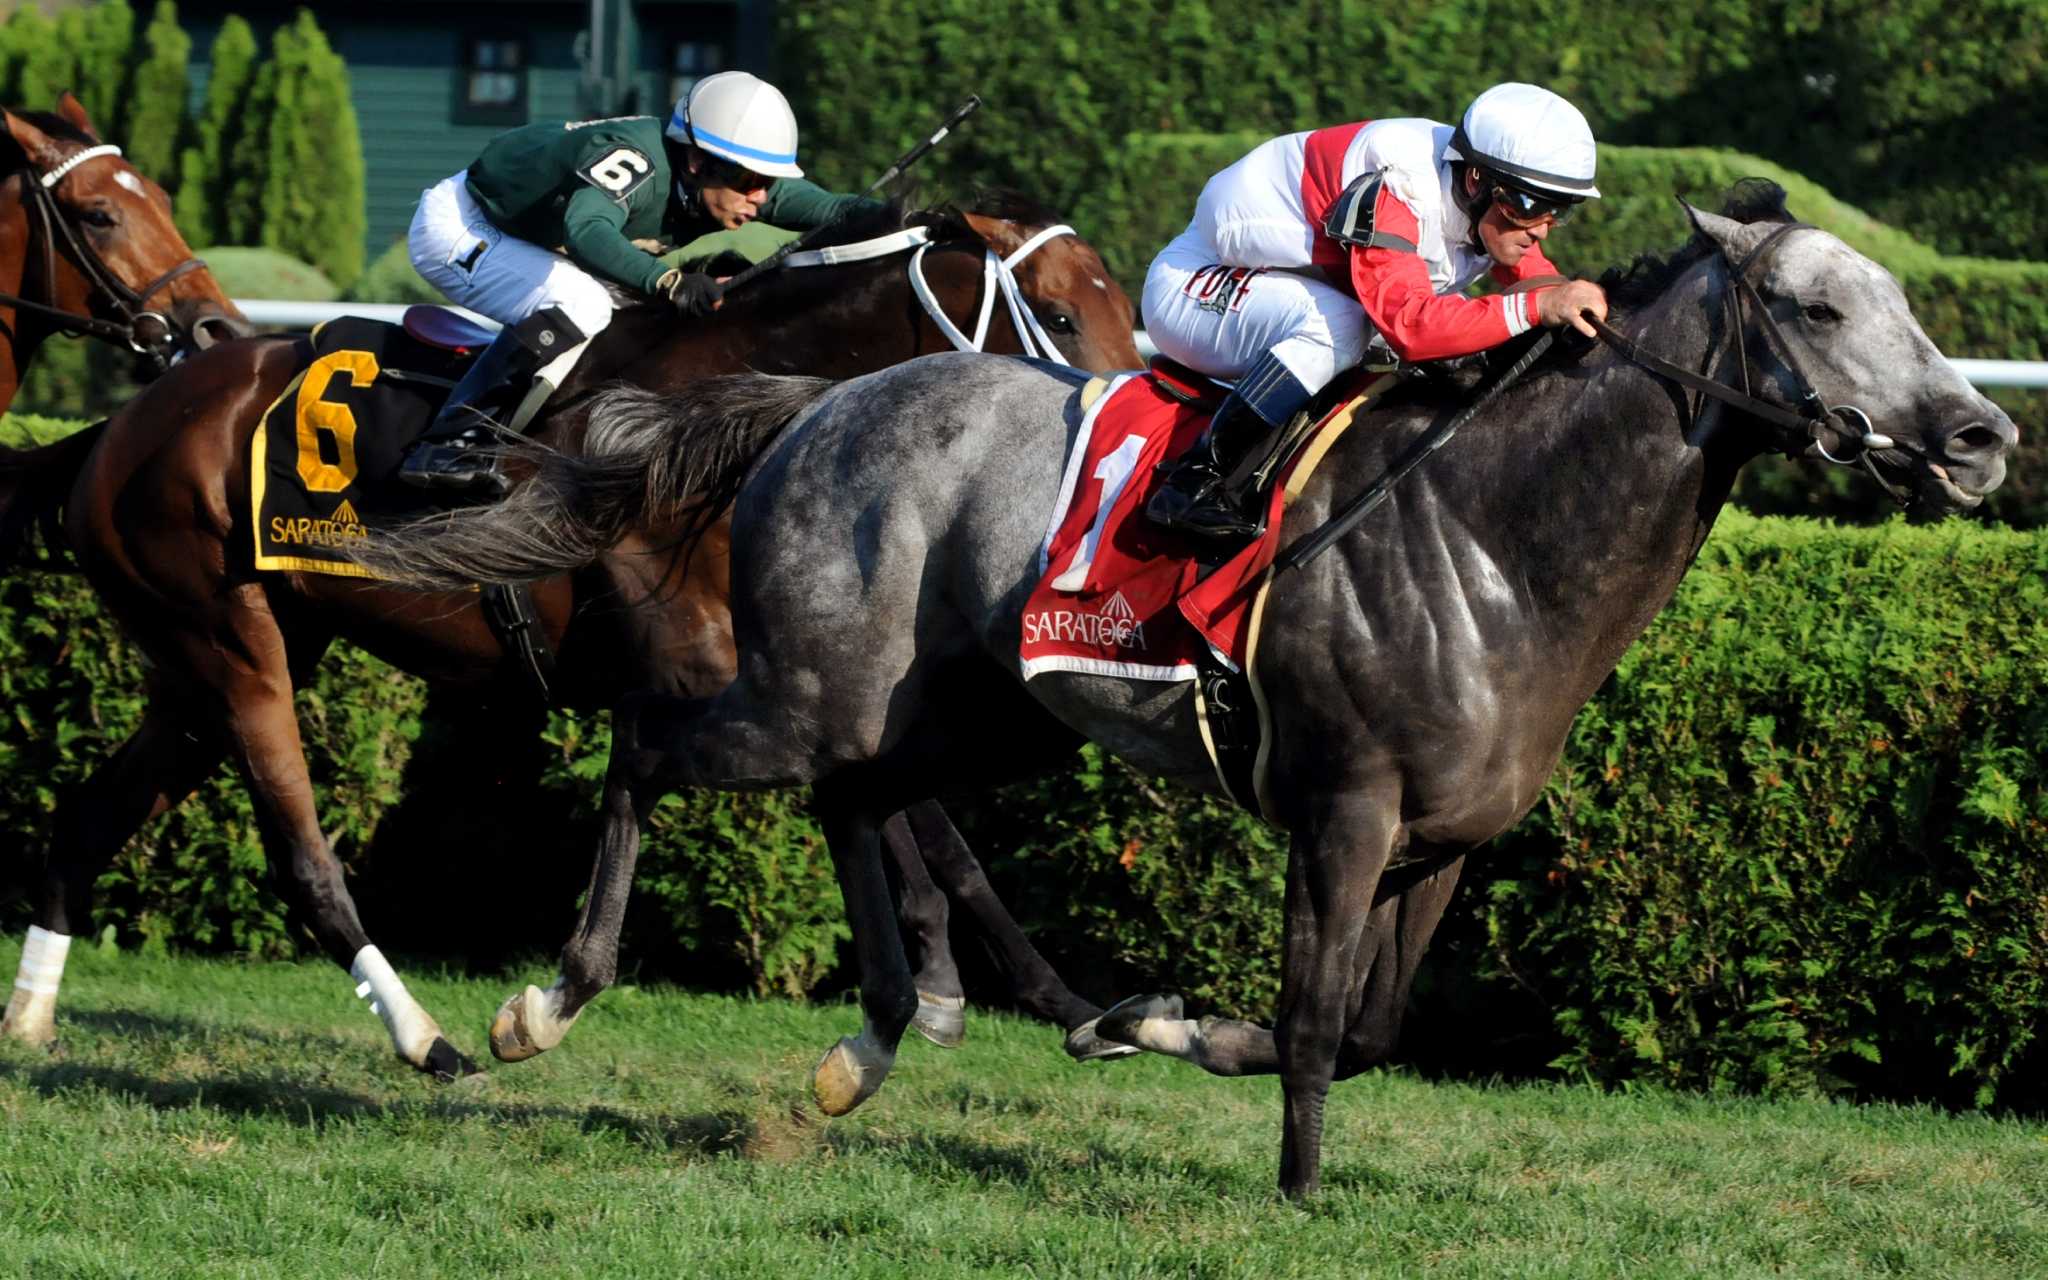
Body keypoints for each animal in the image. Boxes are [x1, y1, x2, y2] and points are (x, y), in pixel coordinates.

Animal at [0, 194, 1138, 1081]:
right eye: (1058, 312)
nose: (1127, 419)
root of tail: (121, 426)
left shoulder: (811, 673)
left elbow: (943, 837)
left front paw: (1064, 1005)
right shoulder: (723, 674)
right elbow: (898, 813)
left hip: (205, 664)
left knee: (87, 819)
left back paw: (31, 1016)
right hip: (235, 653)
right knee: (303, 861)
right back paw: (426, 1038)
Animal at [356, 184, 2015, 1196]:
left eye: (1905, 303)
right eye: (1820, 311)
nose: (1985, 434)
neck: (1491, 536)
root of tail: (820, 401)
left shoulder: (1439, 844)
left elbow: (1364, 1031)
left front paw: (1165, 1031)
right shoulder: (1340, 816)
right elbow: (1316, 1014)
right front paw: (1291, 1185)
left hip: (963, 711)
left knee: (859, 801)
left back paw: (873, 1040)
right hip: (806, 685)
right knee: (652, 749)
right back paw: (542, 1004)